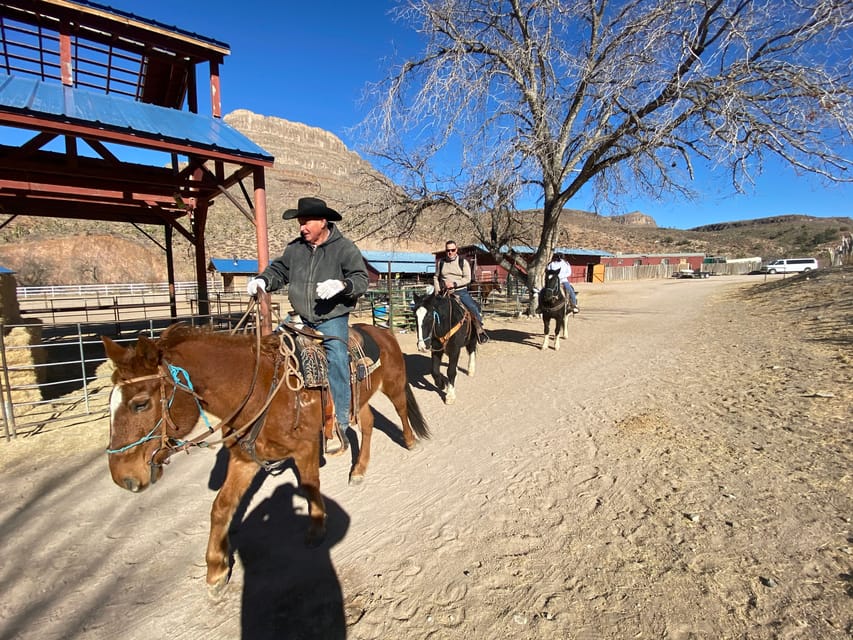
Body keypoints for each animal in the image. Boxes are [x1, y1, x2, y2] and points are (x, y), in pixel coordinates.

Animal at [102, 322, 430, 596]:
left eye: (140, 403)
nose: (122, 477)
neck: (260, 390)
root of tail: (382, 331)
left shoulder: (305, 449)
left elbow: (310, 486)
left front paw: (316, 529)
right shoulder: (244, 459)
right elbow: (221, 507)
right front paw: (216, 571)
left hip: (393, 384)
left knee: (401, 409)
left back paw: (410, 441)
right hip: (358, 400)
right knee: (369, 423)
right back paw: (359, 469)